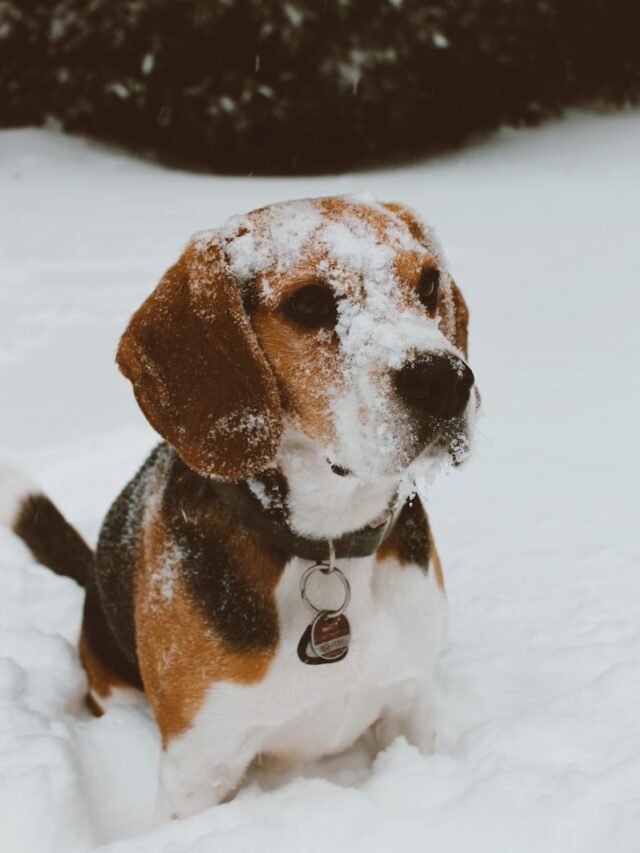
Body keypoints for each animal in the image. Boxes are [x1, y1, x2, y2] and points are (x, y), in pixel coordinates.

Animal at [3, 196, 476, 816]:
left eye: (427, 284)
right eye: (309, 303)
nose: (447, 381)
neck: (326, 540)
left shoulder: (410, 701)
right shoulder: (199, 768)